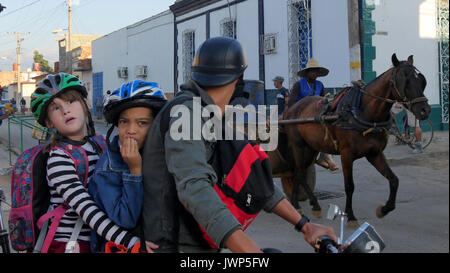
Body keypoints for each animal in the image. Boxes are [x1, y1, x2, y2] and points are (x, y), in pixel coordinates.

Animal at [284, 54, 430, 224]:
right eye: (405, 81)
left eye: (422, 80)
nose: (425, 110)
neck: (365, 113)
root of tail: (292, 108)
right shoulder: (347, 154)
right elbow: (349, 186)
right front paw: (350, 215)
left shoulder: (375, 154)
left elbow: (394, 180)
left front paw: (384, 209)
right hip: (298, 146)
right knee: (299, 172)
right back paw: (301, 204)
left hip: (311, 147)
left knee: (298, 172)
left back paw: (305, 204)